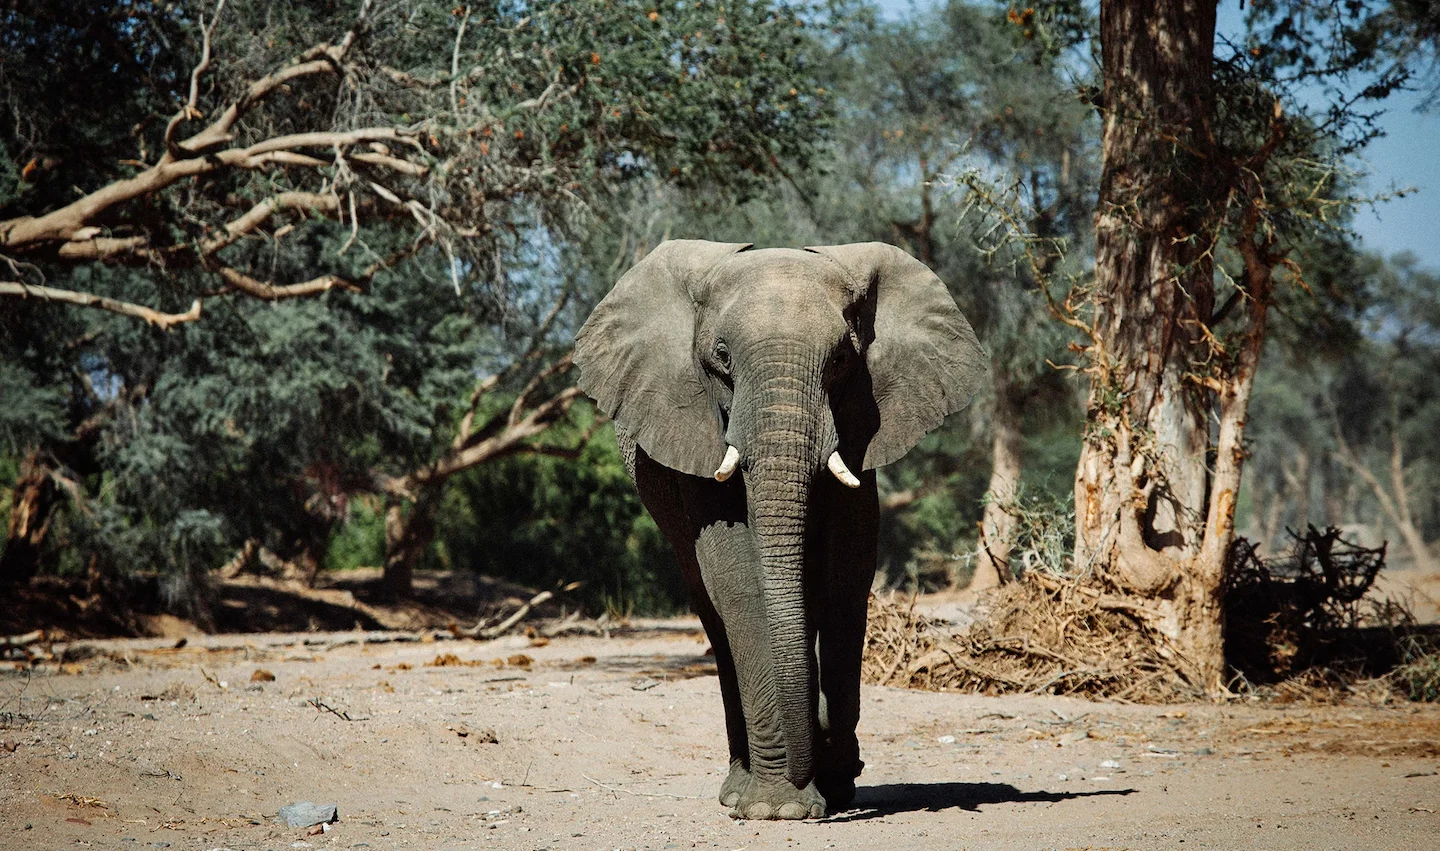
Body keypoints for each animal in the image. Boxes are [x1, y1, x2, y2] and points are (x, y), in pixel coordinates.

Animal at [573, 240, 985, 819]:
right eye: (722, 356)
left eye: (840, 360)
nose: (825, 766)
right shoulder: (698, 429)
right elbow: (737, 575)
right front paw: (779, 808)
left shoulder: (860, 425)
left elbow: (846, 573)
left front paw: (831, 779)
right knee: (713, 612)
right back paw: (739, 789)